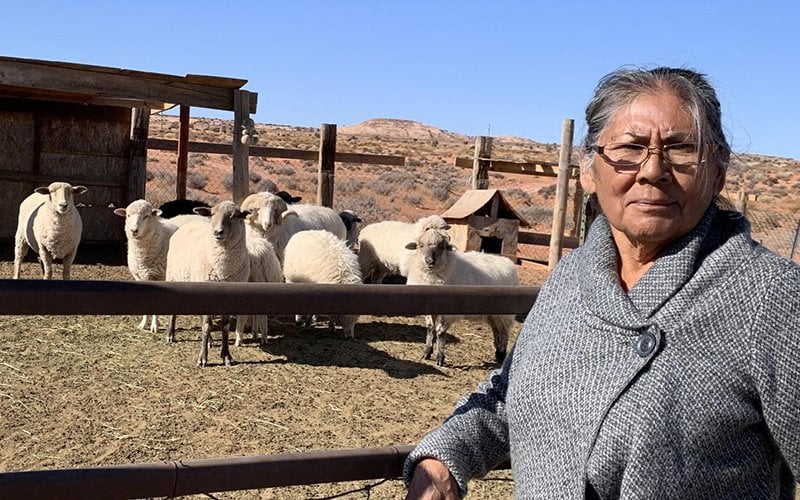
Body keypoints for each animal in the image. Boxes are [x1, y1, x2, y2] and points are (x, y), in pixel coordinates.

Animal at [114, 198, 181, 332]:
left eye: (146, 216)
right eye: (128, 215)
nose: (134, 230)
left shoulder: (160, 277)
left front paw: (155, 325)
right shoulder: (140, 277)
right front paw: (144, 324)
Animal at [163, 200, 248, 368]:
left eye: (235, 216)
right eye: (212, 214)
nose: (218, 232)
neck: (223, 269)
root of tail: (189, 220)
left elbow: (224, 326)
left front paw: (226, 355)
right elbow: (206, 326)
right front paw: (202, 358)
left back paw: (210, 341)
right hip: (173, 277)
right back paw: (170, 334)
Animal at [406, 229, 520, 366]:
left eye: (442, 246)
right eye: (420, 245)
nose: (429, 261)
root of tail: (508, 262)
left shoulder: (447, 313)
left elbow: (440, 332)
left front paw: (440, 357)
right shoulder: (429, 308)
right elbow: (430, 328)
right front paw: (427, 353)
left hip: (505, 314)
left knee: (504, 333)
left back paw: (501, 355)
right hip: (493, 315)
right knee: (497, 332)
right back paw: (498, 355)